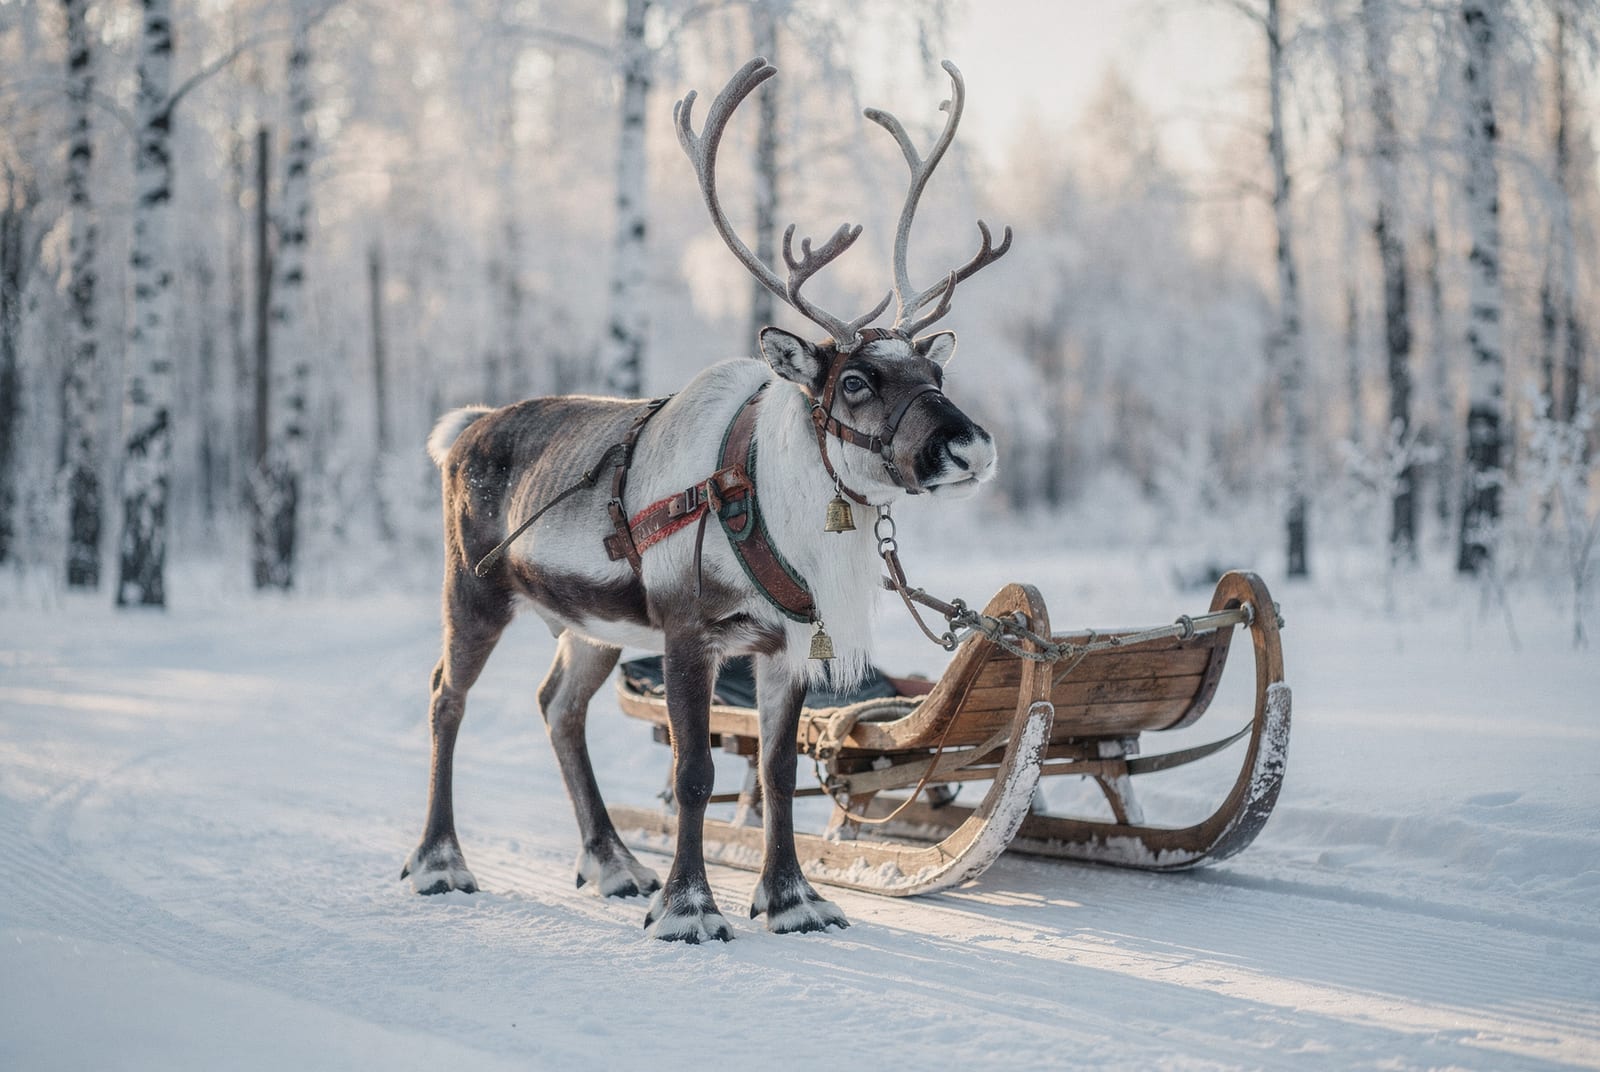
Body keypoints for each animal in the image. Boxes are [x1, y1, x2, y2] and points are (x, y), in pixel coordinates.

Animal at [402, 57, 1012, 942]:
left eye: (935, 373)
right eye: (856, 381)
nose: (972, 446)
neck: (778, 505)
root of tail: (464, 430)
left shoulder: (786, 645)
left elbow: (780, 770)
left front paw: (793, 901)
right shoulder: (690, 630)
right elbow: (692, 770)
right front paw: (690, 908)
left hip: (592, 624)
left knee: (558, 706)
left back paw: (616, 864)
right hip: (474, 589)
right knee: (446, 697)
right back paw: (441, 862)